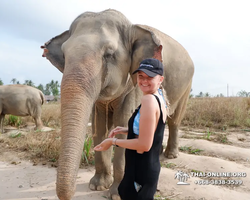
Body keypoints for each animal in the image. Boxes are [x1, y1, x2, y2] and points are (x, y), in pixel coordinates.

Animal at [41, 9, 194, 200]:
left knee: (175, 120)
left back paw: (171, 155)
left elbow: (125, 127)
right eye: (64, 55)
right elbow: (99, 128)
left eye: (109, 55)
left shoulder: (134, 87)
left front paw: (116, 195)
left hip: (187, 86)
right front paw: (97, 186)